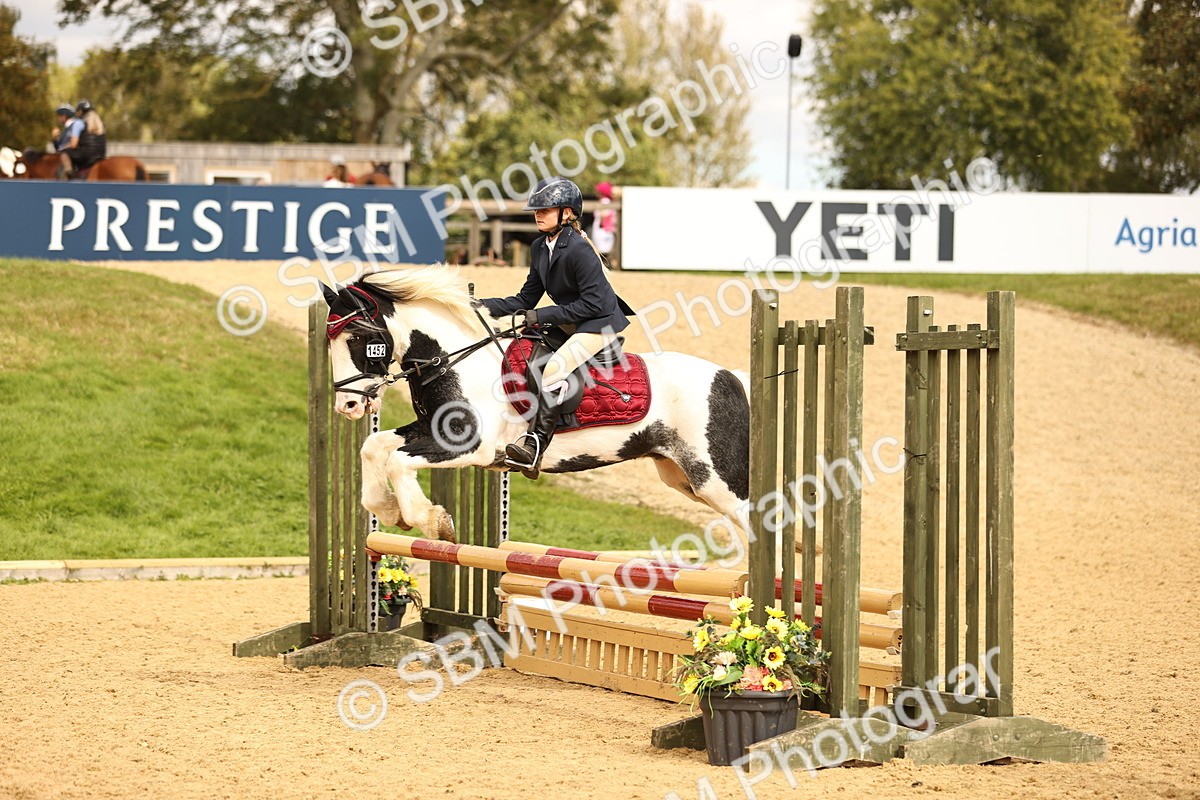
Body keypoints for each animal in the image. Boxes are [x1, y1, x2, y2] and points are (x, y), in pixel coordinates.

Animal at [321, 266, 752, 547]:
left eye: (357, 337)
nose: (348, 404)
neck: (453, 359)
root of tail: (732, 377)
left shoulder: (470, 447)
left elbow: (397, 461)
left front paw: (434, 522)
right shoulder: (430, 430)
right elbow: (374, 447)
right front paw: (387, 511)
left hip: (719, 480)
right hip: (682, 477)